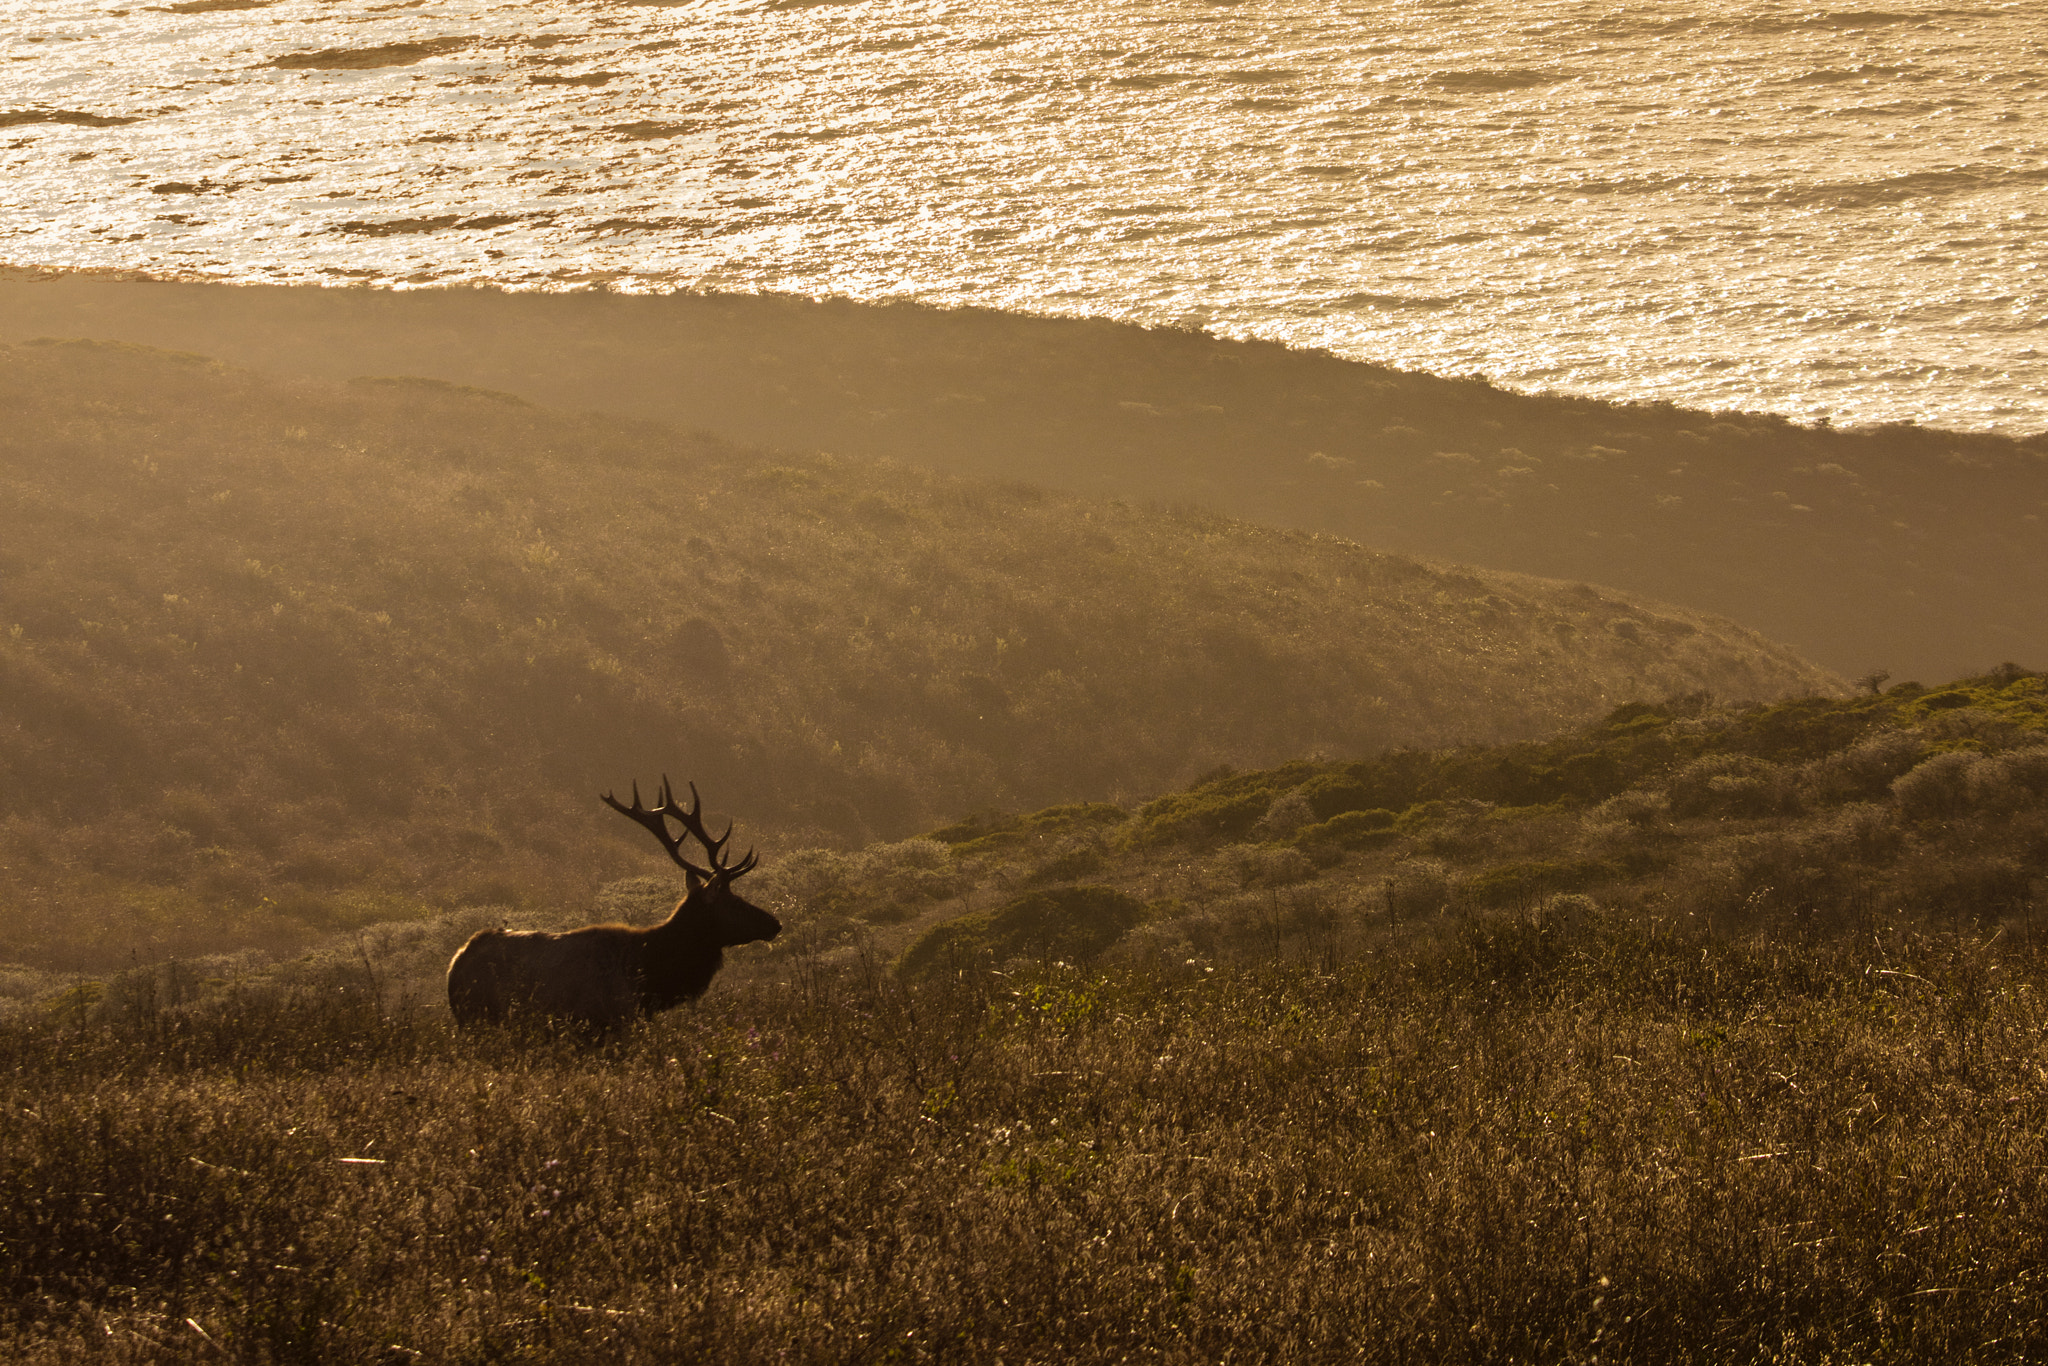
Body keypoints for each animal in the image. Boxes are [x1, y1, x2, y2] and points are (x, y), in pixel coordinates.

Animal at [450, 786, 782, 1032]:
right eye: (735, 901)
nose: (775, 923)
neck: (650, 977)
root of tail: (455, 965)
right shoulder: (609, 1021)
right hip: (478, 1019)